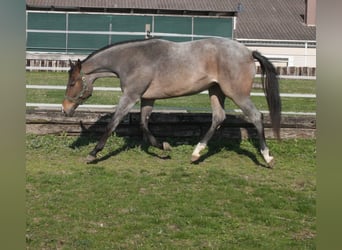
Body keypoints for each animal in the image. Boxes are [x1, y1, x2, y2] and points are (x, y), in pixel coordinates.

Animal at [61, 36, 280, 166]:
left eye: (72, 83)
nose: (65, 109)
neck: (132, 60)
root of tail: (249, 52)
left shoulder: (131, 96)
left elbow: (112, 123)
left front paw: (93, 153)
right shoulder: (147, 98)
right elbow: (143, 125)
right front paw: (164, 147)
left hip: (237, 94)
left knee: (256, 116)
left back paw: (267, 157)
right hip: (216, 91)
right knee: (219, 117)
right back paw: (196, 153)